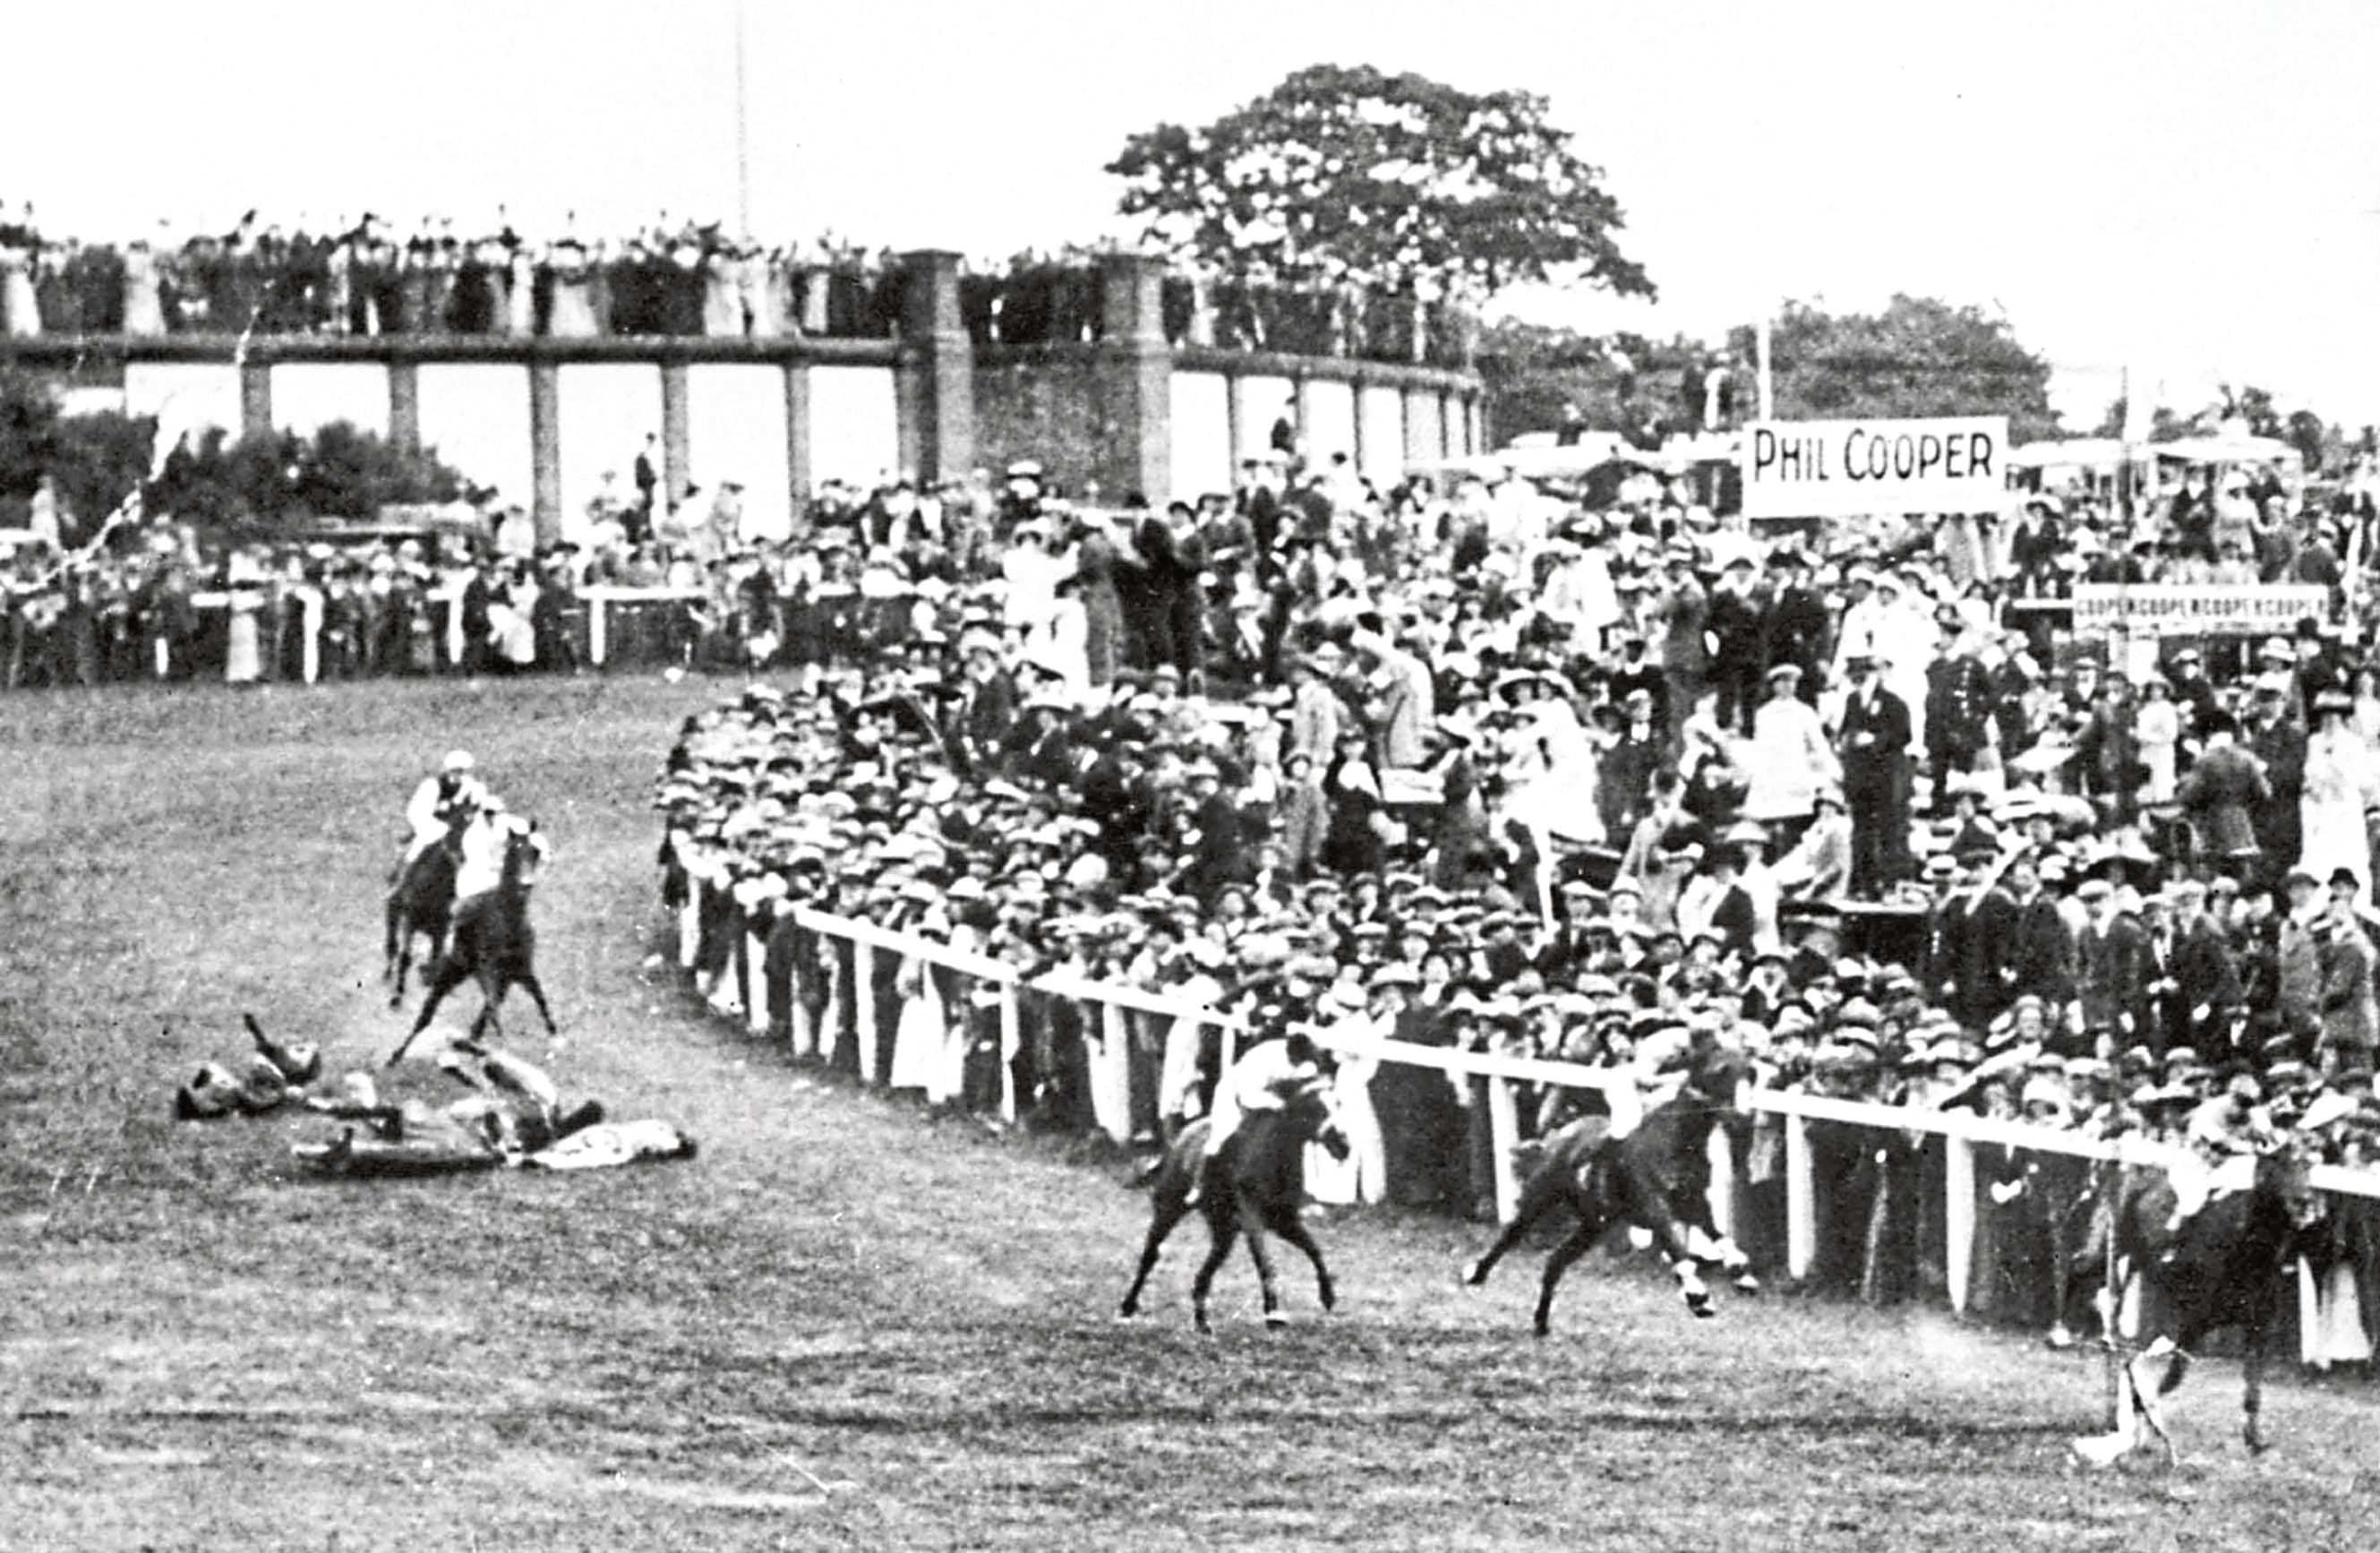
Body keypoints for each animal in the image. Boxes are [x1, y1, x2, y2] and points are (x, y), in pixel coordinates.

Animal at [382, 814, 466, 1005]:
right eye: (453, 834)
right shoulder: (410, 922)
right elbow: (405, 957)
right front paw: (397, 997)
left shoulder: (441, 931)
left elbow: (435, 962)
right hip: (393, 912)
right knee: (392, 944)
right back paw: (388, 974)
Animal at [388, 824, 559, 1067]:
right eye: (514, 850)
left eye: (535, 851)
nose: (526, 884)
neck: (508, 922)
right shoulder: (486, 969)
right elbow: (494, 1008)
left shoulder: (518, 970)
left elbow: (538, 997)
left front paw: (555, 1035)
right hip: (451, 969)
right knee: (425, 1011)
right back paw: (397, 1051)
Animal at [1118, 1081, 1351, 1334]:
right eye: (1315, 1108)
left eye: (1339, 1103)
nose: (1343, 1145)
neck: (1274, 1158)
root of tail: (1181, 1136)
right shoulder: (1252, 1220)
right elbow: (1265, 1262)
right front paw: (1273, 1313)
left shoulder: (1284, 1221)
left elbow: (1314, 1250)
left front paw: (1328, 1296)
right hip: (1169, 1209)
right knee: (1150, 1255)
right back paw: (1127, 1307)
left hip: (1224, 1230)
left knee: (1204, 1272)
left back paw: (1202, 1323)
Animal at [1456, 1028, 1760, 1334]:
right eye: (1721, 1071)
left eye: (1751, 1073)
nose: (1743, 1117)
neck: (1676, 1142)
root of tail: (1559, 1134)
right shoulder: (1654, 1206)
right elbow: (1677, 1249)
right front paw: (1698, 1297)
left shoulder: (1695, 1204)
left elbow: (1720, 1236)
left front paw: (1741, 1275)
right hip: (1540, 1197)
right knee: (1510, 1235)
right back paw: (1475, 1273)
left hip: (1594, 1224)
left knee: (1555, 1261)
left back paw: (1541, 1323)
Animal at [2075, 1138, 2332, 1467]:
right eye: (2278, 1163)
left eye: (2309, 1165)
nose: (2305, 1204)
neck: (2246, 1251)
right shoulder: (2192, 1319)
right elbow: (2171, 1374)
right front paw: (2143, 1422)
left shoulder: (2258, 1323)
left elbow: (2252, 1385)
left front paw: (2255, 1440)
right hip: (2112, 1246)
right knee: (2084, 1274)